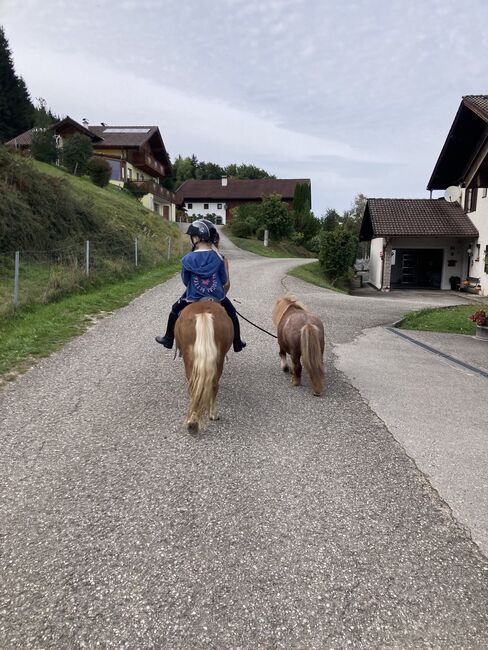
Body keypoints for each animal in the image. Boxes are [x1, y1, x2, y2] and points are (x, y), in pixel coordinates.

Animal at [174, 298, 234, 430]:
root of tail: (203, 313)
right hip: (219, 358)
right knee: (214, 384)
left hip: (188, 359)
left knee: (194, 386)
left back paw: (195, 420)